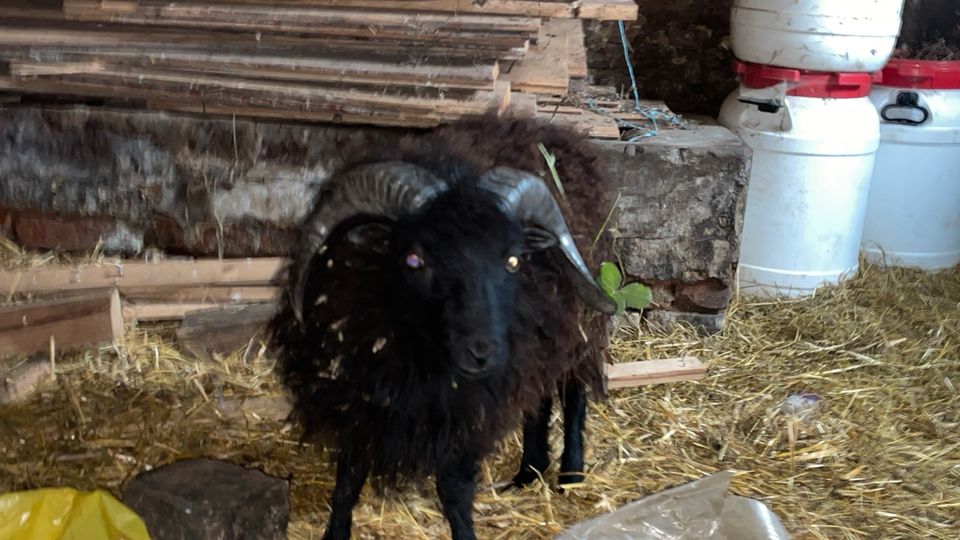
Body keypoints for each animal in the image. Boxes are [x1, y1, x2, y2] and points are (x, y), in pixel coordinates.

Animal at [266, 112, 620, 536]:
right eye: (415, 259)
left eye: (513, 260)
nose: (482, 353)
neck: (419, 354)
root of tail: (557, 130)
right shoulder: (358, 394)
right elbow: (347, 479)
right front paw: (335, 533)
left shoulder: (468, 408)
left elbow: (453, 490)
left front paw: (465, 533)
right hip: (539, 340)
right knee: (538, 396)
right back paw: (528, 472)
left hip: (578, 327)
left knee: (573, 391)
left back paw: (570, 475)